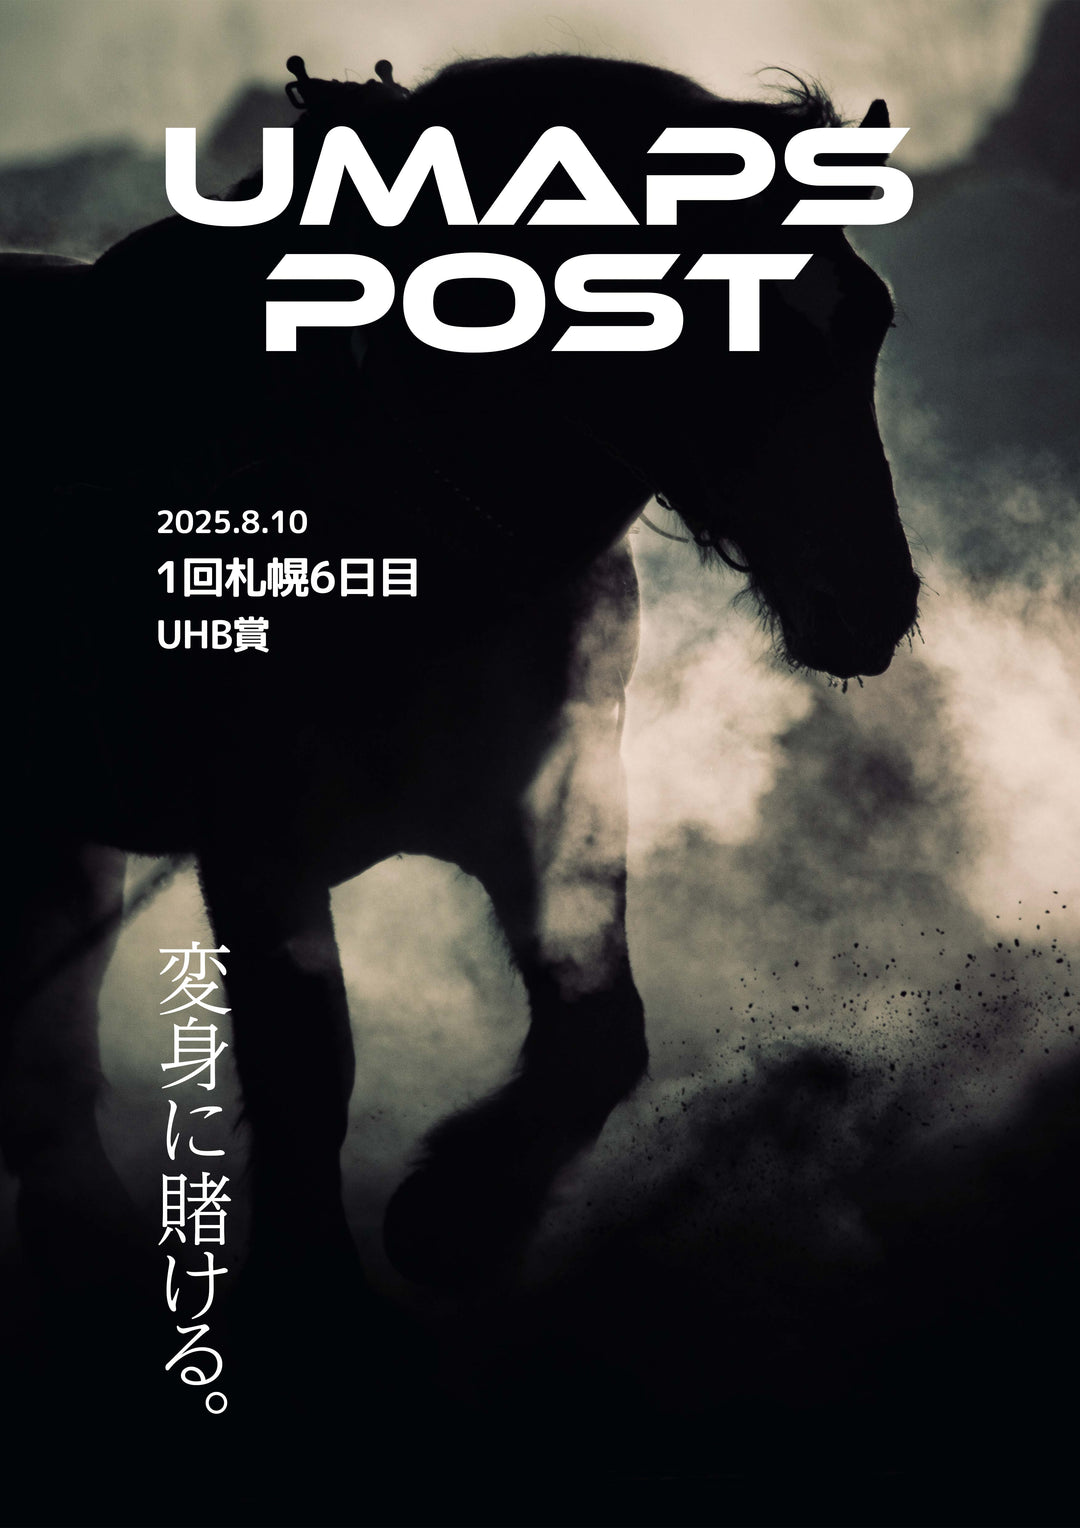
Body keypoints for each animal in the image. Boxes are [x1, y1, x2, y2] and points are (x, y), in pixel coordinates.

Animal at [3, 52, 919, 1300]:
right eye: (733, 326)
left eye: (868, 321)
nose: (875, 598)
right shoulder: (256, 848)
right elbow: (308, 1078)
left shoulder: (552, 811)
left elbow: (599, 1036)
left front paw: (454, 1218)